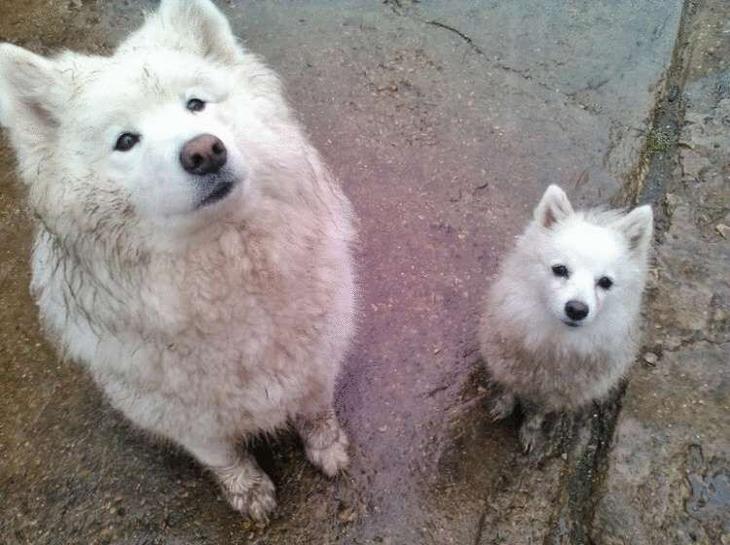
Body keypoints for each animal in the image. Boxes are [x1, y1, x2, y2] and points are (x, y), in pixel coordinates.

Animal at [0, 0, 356, 520]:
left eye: (195, 104)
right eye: (125, 141)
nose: (204, 150)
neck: (224, 279)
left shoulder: (317, 363)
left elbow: (316, 412)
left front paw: (327, 448)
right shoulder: (185, 418)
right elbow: (223, 456)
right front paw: (247, 490)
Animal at [480, 185, 652, 452]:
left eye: (605, 282)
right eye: (560, 269)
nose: (577, 309)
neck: (555, 342)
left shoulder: (558, 393)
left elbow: (537, 413)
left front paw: (530, 431)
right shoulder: (509, 369)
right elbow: (508, 390)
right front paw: (503, 405)